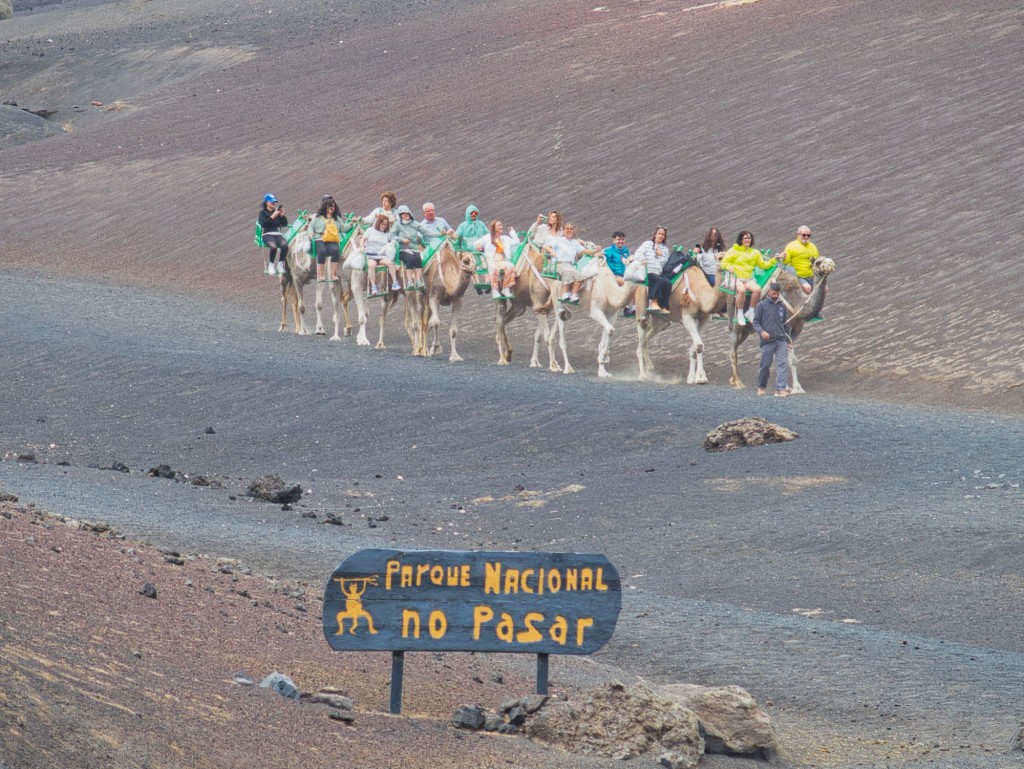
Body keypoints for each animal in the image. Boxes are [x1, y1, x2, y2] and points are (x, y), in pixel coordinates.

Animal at [724, 257, 835, 393]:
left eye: (830, 260)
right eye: (818, 263)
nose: (831, 265)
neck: (797, 302)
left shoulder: (797, 329)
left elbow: (784, 357)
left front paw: (787, 387)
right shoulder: (785, 326)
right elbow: (791, 359)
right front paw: (796, 389)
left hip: (748, 329)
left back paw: (733, 380)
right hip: (733, 317)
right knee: (733, 348)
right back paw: (738, 383)